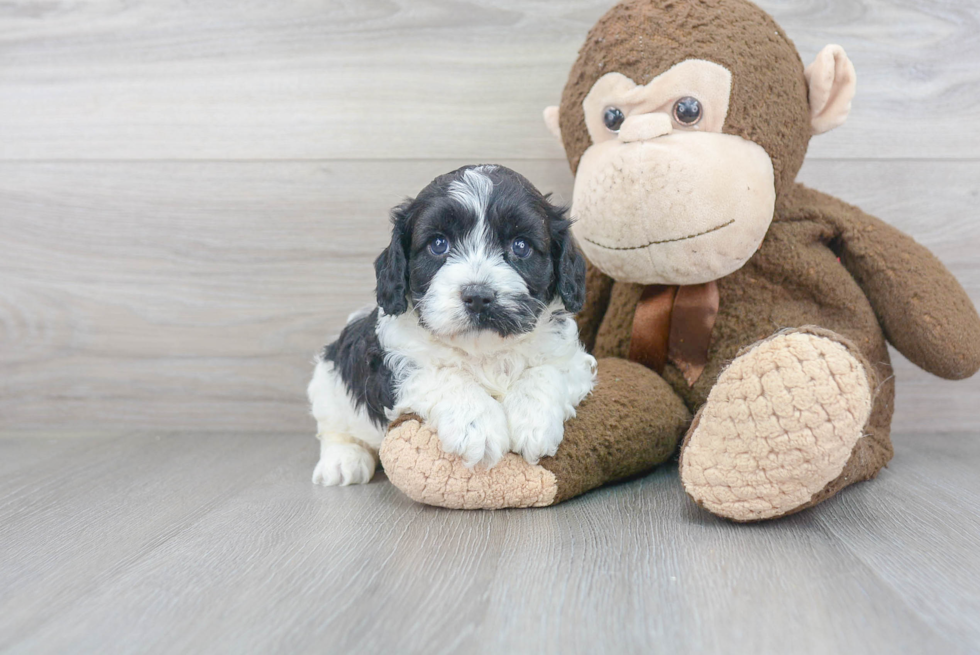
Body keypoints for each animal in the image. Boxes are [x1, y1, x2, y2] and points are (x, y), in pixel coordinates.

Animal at [306, 165, 596, 486]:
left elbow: (546, 372)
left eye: (520, 246)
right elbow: (444, 375)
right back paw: (343, 461)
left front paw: (534, 421)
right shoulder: (395, 365)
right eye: (438, 244)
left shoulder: (571, 359)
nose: (478, 296)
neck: (483, 350)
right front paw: (478, 427)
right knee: (334, 429)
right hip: (330, 384)